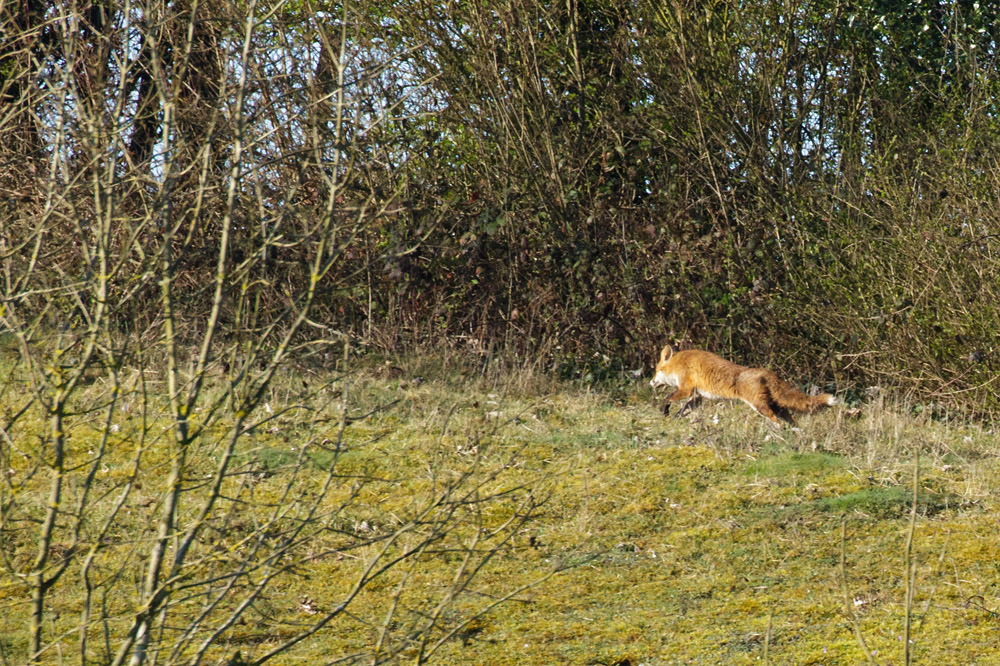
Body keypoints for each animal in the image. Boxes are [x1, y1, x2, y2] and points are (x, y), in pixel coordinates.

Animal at [649, 344, 836, 426]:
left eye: (656, 371)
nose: (650, 382)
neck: (678, 364)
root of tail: (766, 372)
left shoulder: (686, 389)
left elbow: (667, 399)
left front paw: (664, 412)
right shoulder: (697, 397)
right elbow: (682, 411)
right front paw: (674, 420)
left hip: (760, 407)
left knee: (777, 422)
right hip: (777, 407)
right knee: (794, 423)